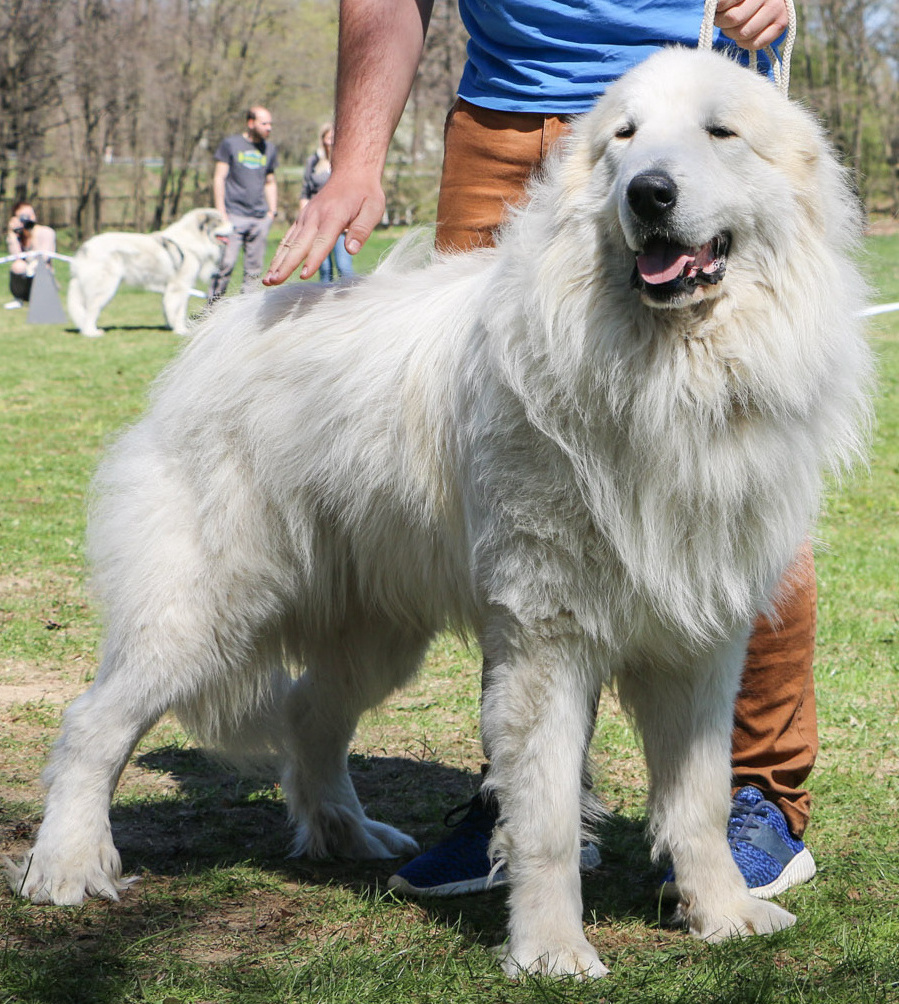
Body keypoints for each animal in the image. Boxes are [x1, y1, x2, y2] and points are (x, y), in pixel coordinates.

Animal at [67, 206, 232, 337]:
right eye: (220, 221)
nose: (235, 228)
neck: (194, 239)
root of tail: (84, 249)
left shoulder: (171, 289)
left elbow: (168, 308)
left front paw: (170, 325)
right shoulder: (180, 287)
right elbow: (179, 311)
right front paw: (181, 330)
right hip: (105, 286)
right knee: (91, 309)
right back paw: (91, 332)